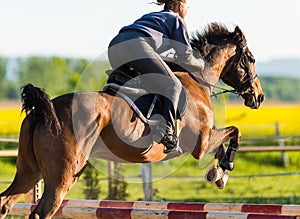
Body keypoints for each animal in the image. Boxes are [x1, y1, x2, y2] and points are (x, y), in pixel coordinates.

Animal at [0, 22, 264, 219]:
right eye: (251, 59)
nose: (259, 97)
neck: (196, 78)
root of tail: (43, 110)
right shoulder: (201, 143)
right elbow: (235, 131)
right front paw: (225, 168)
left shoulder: (207, 137)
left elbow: (225, 140)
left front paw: (218, 173)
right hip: (60, 178)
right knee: (40, 212)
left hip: (29, 172)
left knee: (5, 203)